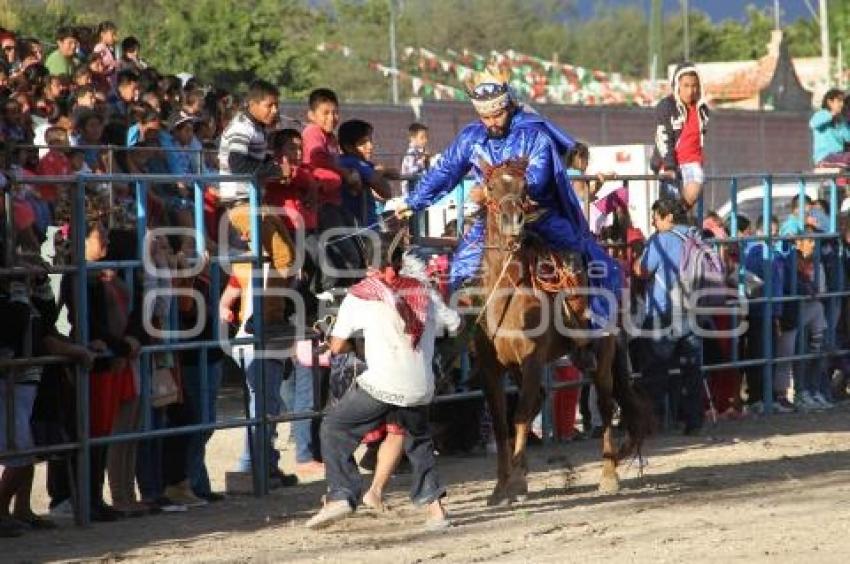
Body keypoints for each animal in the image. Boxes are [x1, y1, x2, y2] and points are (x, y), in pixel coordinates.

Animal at [470, 158, 648, 502]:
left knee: (606, 406)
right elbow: (501, 422)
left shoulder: (532, 361)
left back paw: (609, 475)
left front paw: (516, 482)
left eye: (525, 187)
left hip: (604, 355)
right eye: (491, 186)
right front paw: (501, 486)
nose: (513, 222)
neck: (507, 292)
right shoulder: (490, 368)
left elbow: (520, 415)